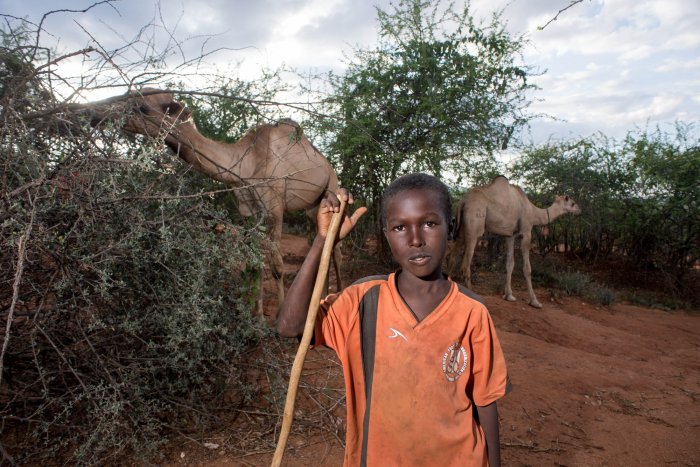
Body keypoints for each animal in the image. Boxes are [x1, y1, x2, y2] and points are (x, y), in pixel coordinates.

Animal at [85, 88, 342, 314]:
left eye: (142, 107)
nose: (93, 115)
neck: (245, 163)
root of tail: (328, 164)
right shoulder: (249, 211)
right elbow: (257, 262)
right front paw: (258, 317)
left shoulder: (275, 208)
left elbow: (277, 267)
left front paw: (280, 316)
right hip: (311, 206)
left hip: (331, 186)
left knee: (335, 246)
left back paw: (335, 294)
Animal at [452, 176, 584, 308]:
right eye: (572, 203)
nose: (579, 209)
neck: (533, 212)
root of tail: (463, 200)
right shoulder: (526, 233)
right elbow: (527, 269)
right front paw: (535, 301)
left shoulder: (510, 236)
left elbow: (510, 264)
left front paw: (509, 295)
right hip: (475, 224)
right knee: (465, 264)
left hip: (462, 226)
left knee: (453, 253)